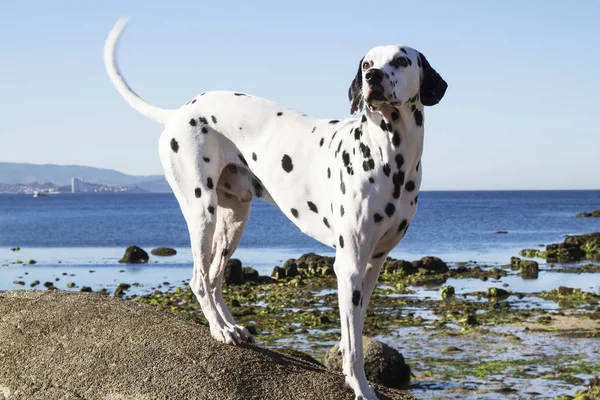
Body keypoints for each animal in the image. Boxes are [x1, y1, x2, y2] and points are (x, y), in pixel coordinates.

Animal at [105, 18, 448, 400]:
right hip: (201, 212)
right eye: (366, 64)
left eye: (402, 61)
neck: (390, 156)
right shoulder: (348, 266)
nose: (373, 77)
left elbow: (354, 334)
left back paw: (231, 328)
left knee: (214, 277)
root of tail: (179, 112)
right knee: (199, 279)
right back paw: (219, 330)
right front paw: (360, 386)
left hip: (234, 220)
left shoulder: (373, 264)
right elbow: (354, 346)